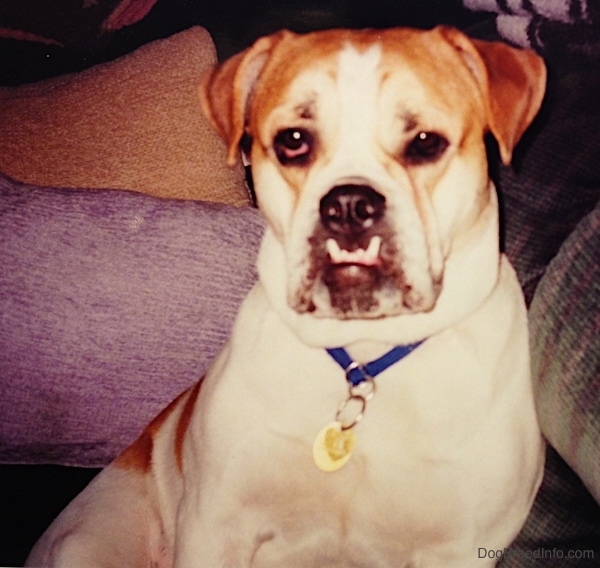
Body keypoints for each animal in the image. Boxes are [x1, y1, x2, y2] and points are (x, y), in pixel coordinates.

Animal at [28, 26, 548, 568]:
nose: (349, 205)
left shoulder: (459, 547)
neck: (365, 354)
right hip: (87, 543)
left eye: (426, 142)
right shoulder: (214, 525)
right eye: (293, 141)